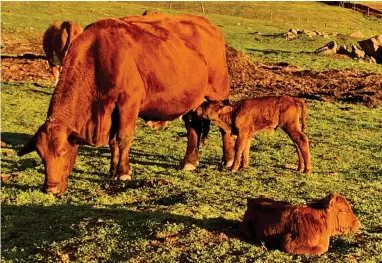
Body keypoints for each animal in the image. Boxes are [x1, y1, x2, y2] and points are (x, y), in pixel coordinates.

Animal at [17, 14, 236, 196]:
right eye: (41, 154)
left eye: (62, 151)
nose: (50, 189)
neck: (99, 55)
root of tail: (208, 25)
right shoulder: (110, 109)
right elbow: (113, 141)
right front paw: (112, 170)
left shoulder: (128, 103)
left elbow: (123, 138)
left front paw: (123, 172)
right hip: (192, 100)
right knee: (192, 126)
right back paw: (189, 161)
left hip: (219, 94)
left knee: (224, 126)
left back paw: (228, 159)